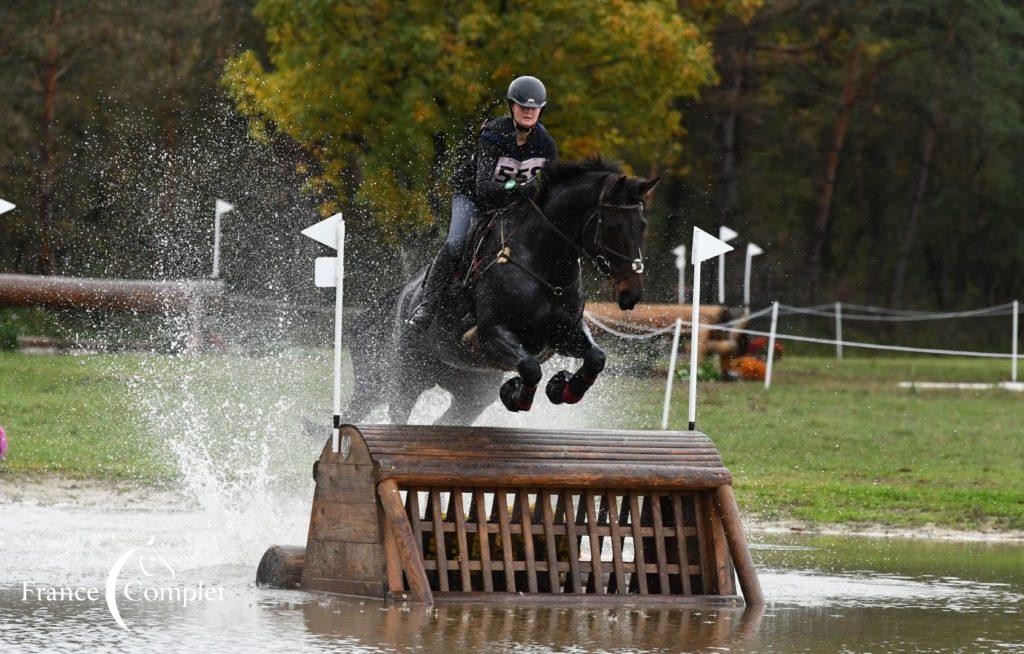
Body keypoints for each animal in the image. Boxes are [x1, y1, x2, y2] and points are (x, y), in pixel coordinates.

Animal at [344, 156, 659, 427]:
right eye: (614, 226)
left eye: (643, 225)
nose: (631, 294)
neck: (542, 262)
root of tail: (403, 294)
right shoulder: (490, 334)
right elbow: (531, 367)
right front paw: (517, 394)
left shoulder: (564, 332)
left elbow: (596, 357)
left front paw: (563, 389)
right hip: (407, 376)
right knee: (395, 412)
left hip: (471, 391)